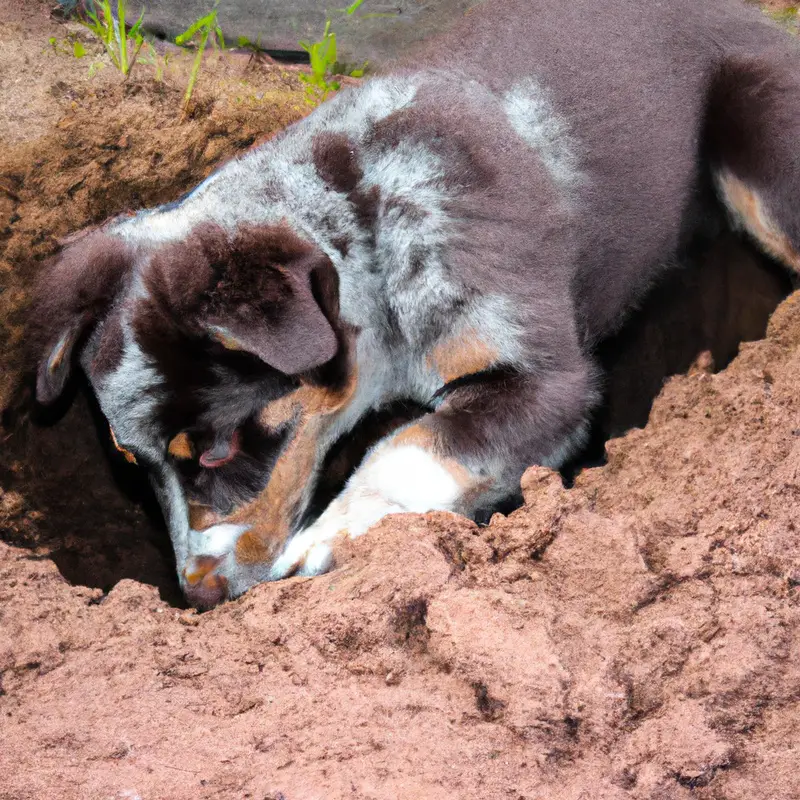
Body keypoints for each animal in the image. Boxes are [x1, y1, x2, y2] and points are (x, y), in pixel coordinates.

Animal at [28, 0, 800, 604]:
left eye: (216, 454)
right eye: (130, 462)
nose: (197, 594)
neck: (363, 224)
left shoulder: (546, 380)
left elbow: (411, 444)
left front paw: (329, 540)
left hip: (761, 146)